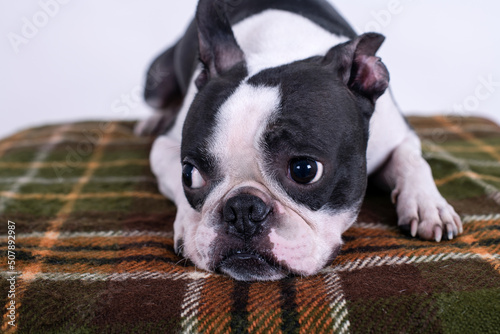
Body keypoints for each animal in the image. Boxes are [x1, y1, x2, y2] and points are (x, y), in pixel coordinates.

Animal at [136, 0, 460, 280]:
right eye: (189, 175)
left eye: (304, 170)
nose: (242, 210)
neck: (279, 50)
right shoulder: (162, 150)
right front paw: (186, 226)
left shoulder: (399, 134)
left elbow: (413, 160)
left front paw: (427, 204)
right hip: (155, 79)